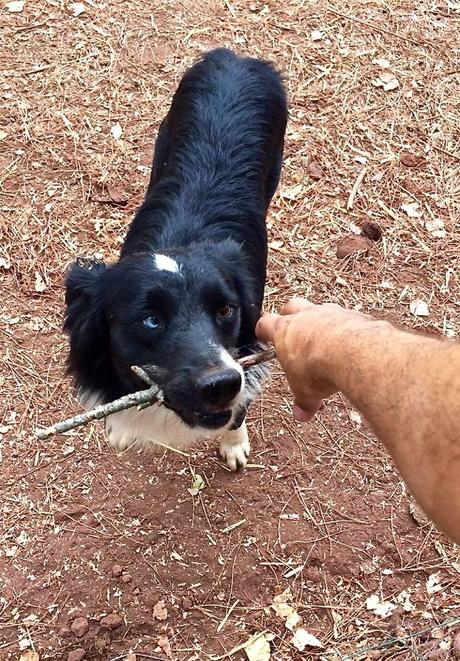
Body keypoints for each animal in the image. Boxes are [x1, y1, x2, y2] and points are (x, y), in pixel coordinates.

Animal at [63, 47, 288, 470]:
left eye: (225, 310)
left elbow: (240, 409)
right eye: (150, 320)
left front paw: (234, 443)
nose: (222, 384)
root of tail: (233, 56)